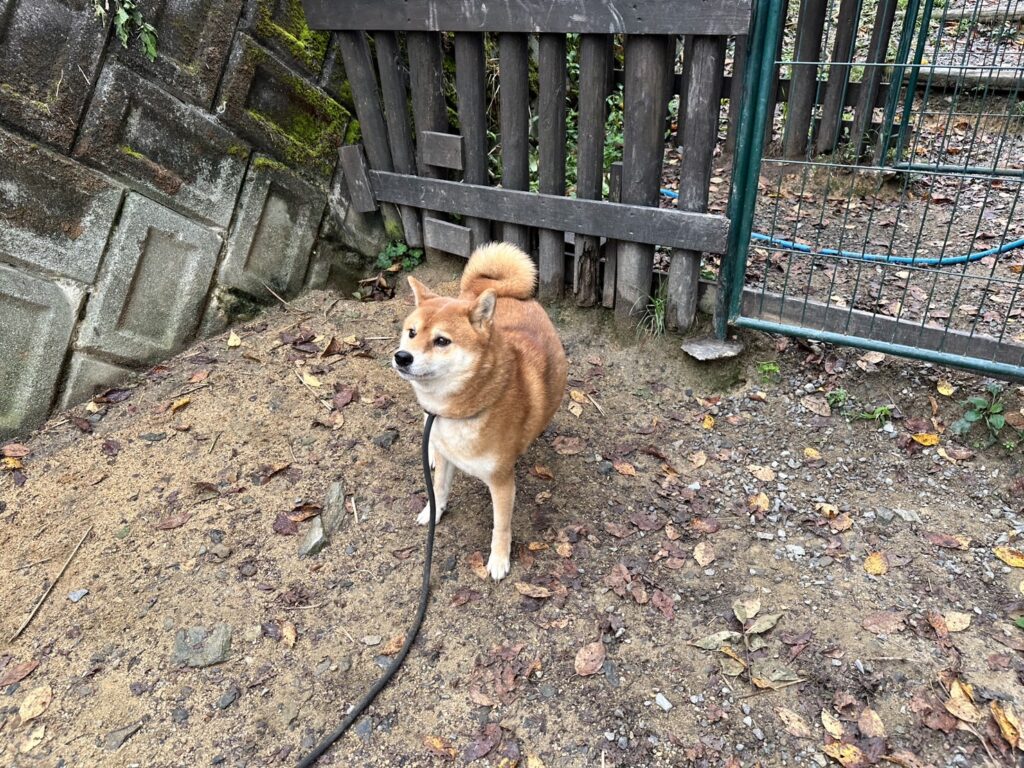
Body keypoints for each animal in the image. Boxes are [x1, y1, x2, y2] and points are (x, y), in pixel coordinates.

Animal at [392, 242, 568, 580]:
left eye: (442, 341)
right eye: (411, 332)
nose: (402, 357)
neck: (458, 412)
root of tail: (490, 288)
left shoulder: (501, 481)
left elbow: (500, 526)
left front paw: (499, 559)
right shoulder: (447, 455)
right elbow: (439, 488)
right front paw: (432, 511)